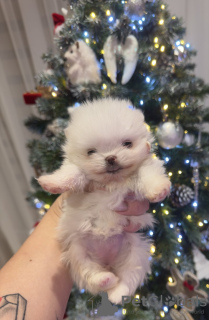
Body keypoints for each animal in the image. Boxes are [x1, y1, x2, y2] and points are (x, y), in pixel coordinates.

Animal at [38, 99, 171, 304]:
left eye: (127, 143)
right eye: (91, 151)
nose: (110, 158)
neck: (112, 183)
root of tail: (108, 263)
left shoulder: (145, 168)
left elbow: (148, 174)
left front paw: (159, 190)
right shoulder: (79, 174)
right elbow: (71, 173)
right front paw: (51, 182)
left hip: (136, 249)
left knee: (129, 275)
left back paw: (117, 294)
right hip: (77, 249)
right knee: (89, 272)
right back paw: (105, 279)